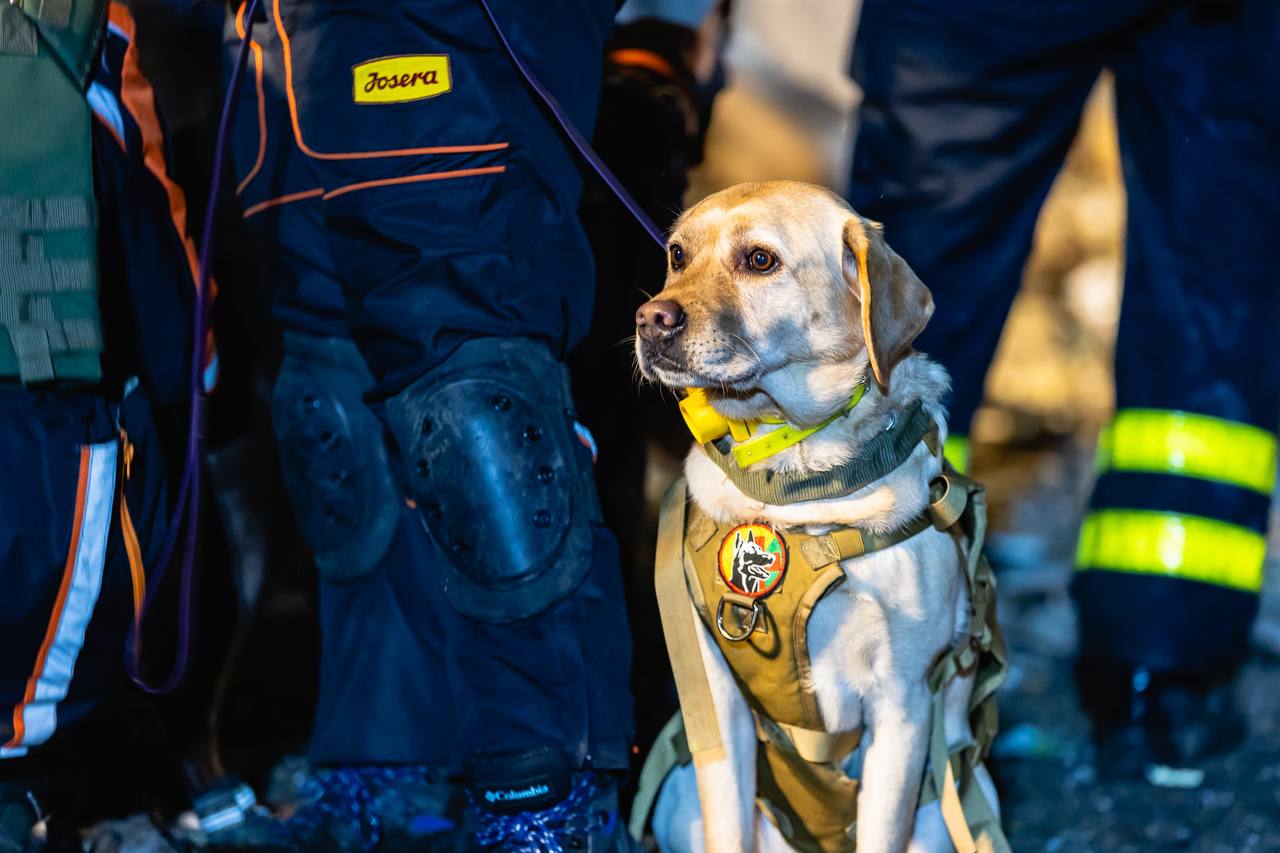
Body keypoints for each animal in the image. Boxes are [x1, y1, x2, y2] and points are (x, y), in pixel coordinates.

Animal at [634, 180, 1003, 850]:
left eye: (759, 260)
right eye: (677, 255)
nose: (650, 319)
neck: (800, 487)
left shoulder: (902, 704)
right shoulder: (715, 702)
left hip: (956, 803)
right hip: (680, 786)